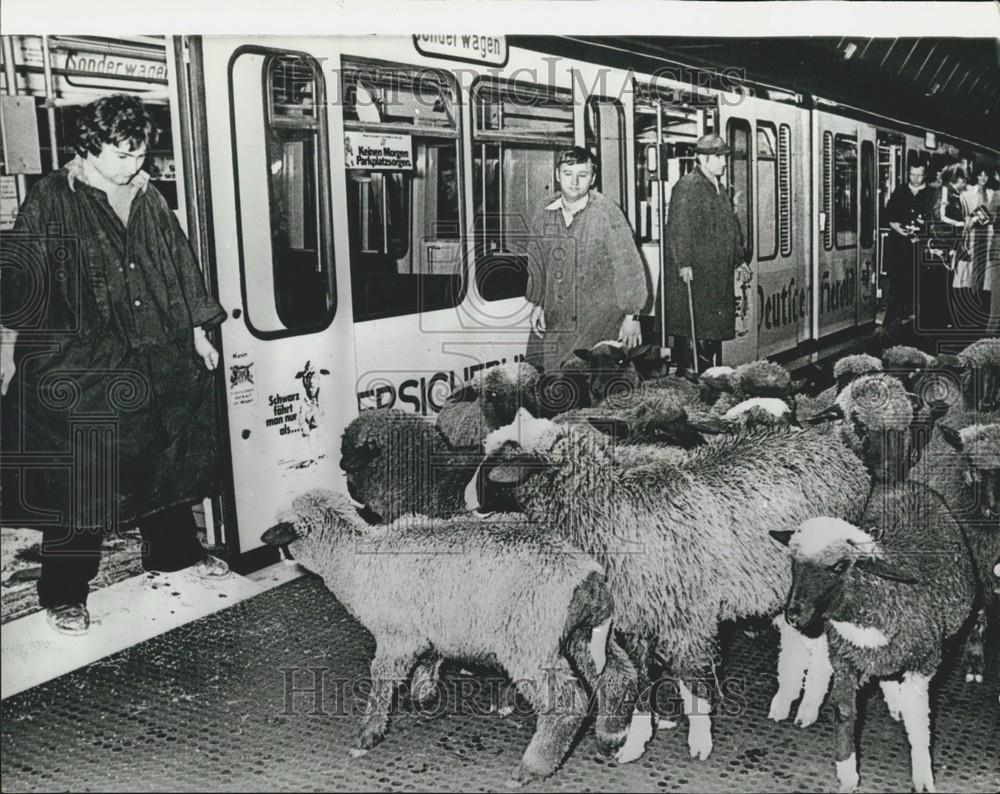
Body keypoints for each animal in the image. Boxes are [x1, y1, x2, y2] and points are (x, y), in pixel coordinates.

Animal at [262, 486, 636, 784]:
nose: (275, 552)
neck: (350, 559)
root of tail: (587, 576)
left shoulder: (396, 636)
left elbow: (381, 682)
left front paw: (368, 734)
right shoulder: (430, 628)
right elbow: (429, 661)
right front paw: (422, 693)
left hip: (530, 643)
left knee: (568, 704)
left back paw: (532, 768)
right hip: (584, 636)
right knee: (619, 675)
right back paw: (611, 735)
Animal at [464, 408, 872, 760]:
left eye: (497, 462)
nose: (467, 501)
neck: (607, 507)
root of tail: (839, 451)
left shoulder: (686, 618)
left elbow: (693, 682)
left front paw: (700, 742)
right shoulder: (637, 619)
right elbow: (641, 678)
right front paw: (636, 741)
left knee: (821, 649)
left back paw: (807, 707)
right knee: (795, 639)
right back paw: (784, 699)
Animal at [772, 496, 984, 792]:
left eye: (839, 567)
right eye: (794, 563)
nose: (792, 616)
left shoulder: (923, 664)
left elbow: (919, 721)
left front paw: (923, 776)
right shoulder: (844, 660)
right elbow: (844, 712)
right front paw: (847, 773)